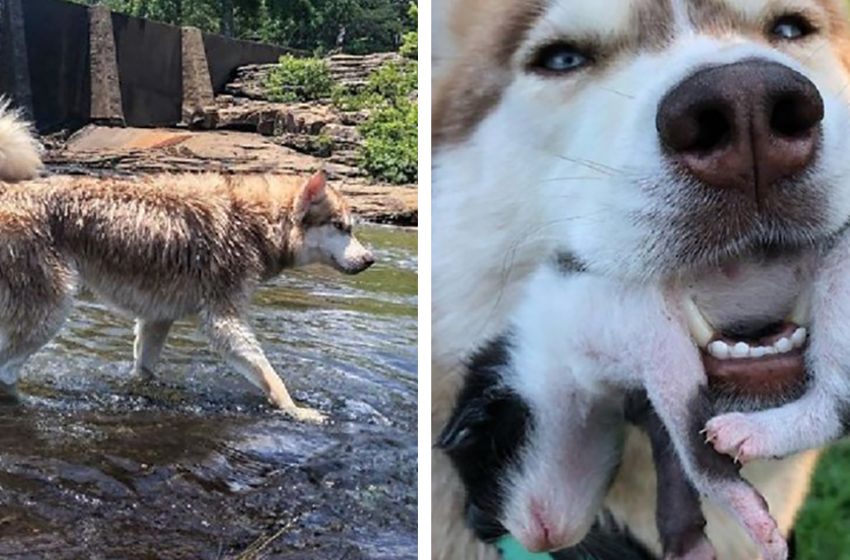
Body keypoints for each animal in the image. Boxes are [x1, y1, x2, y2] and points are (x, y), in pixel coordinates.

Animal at [0, 166, 374, 420]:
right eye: (341, 227)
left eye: (350, 228)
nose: (371, 260)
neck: (255, 223)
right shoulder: (223, 320)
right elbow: (270, 375)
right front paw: (295, 409)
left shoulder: (157, 318)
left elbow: (145, 369)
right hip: (50, 315)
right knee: (6, 373)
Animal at [434, 2, 850, 556]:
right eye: (563, 58)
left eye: (788, 28)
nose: (748, 111)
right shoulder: (648, 397)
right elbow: (679, 472)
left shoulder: (655, 350)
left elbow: (702, 455)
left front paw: (750, 514)